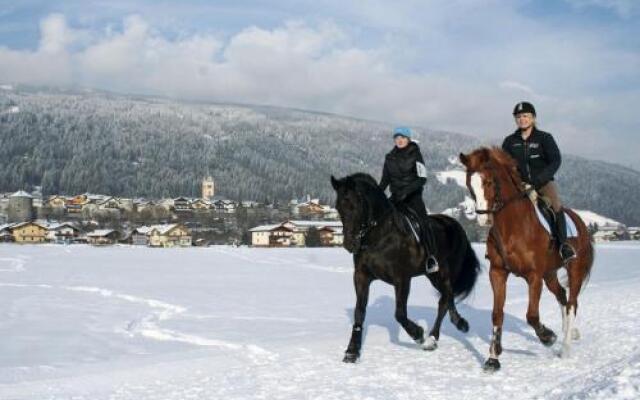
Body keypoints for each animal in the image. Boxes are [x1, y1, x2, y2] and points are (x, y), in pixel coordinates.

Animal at [332, 172, 478, 362]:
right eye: (338, 207)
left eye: (356, 204)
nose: (350, 244)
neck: (380, 236)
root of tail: (456, 225)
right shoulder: (361, 276)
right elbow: (360, 311)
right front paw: (352, 351)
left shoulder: (401, 278)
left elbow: (400, 313)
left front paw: (418, 334)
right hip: (433, 275)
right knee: (448, 297)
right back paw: (457, 324)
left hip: (444, 273)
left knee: (444, 300)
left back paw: (433, 338)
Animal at [458, 148, 592, 374]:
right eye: (469, 184)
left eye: (489, 182)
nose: (483, 220)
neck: (512, 226)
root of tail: (581, 223)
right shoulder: (498, 273)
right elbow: (497, 314)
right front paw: (493, 358)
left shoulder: (533, 276)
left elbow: (532, 315)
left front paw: (548, 336)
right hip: (550, 274)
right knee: (562, 295)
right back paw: (570, 330)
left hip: (574, 270)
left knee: (572, 303)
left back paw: (565, 347)